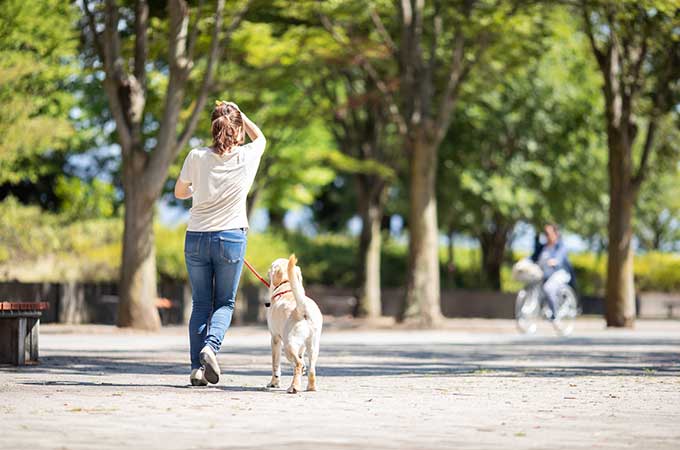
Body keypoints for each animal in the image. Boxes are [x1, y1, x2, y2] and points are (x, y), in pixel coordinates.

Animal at [264, 255, 322, 392]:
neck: (287, 286)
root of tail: (302, 308)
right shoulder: (301, 346)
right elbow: (300, 359)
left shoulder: (275, 338)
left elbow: (275, 365)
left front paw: (274, 383)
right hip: (313, 346)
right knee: (311, 368)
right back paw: (310, 387)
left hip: (288, 345)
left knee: (298, 364)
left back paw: (293, 387)